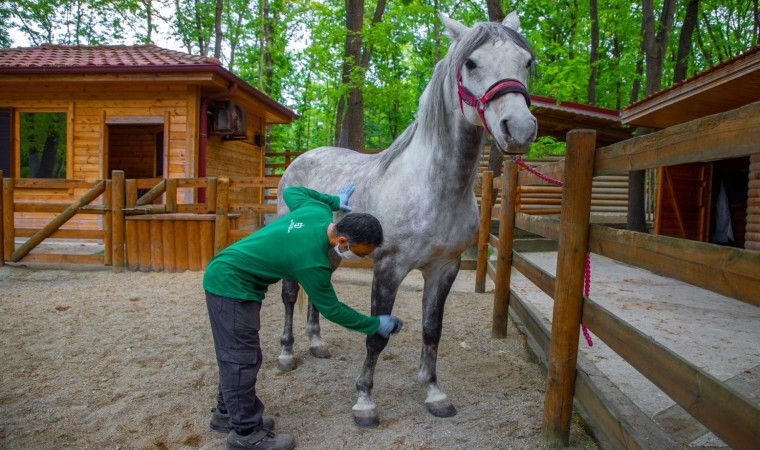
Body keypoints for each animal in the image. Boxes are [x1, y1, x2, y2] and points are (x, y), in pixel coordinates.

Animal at [276, 12, 536, 428]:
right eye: (471, 63)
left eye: (526, 62)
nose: (520, 129)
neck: (433, 189)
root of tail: (298, 160)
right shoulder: (389, 267)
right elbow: (377, 335)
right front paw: (364, 401)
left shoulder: (444, 268)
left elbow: (432, 330)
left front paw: (434, 393)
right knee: (288, 295)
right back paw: (286, 354)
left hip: (329, 252)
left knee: (316, 290)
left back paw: (317, 344)